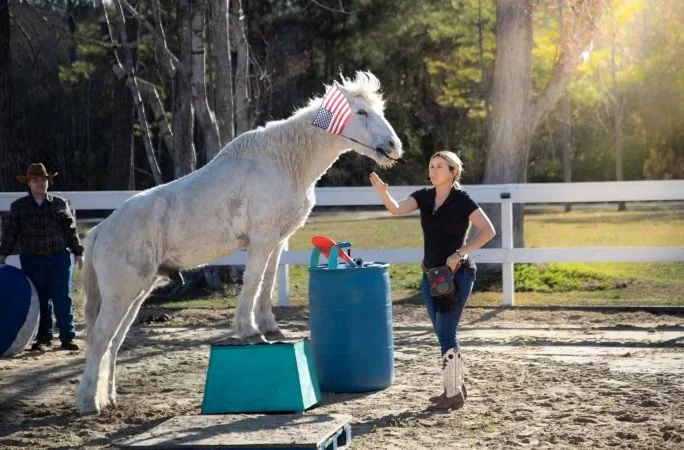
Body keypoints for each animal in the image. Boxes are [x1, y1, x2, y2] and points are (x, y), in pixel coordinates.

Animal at [76, 71, 403, 415]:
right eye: (361, 112)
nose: (394, 146)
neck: (284, 162)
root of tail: (101, 230)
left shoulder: (277, 241)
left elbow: (268, 282)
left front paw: (270, 328)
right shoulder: (261, 239)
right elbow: (254, 281)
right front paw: (251, 332)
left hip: (137, 293)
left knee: (114, 341)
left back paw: (109, 398)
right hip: (122, 293)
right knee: (100, 338)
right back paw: (89, 403)